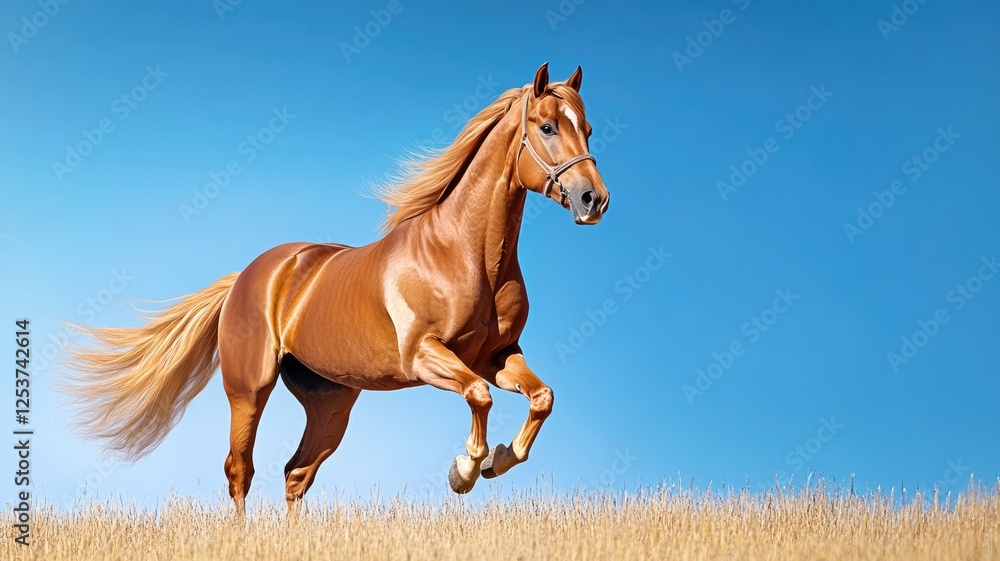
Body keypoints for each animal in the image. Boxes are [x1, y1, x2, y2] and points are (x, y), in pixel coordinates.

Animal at [64, 63, 610, 517]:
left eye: (585, 128)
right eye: (546, 127)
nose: (594, 199)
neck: (465, 253)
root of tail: (246, 277)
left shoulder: (497, 356)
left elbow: (541, 398)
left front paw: (499, 459)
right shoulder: (426, 355)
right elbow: (479, 396)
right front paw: (465, 471)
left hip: (331, 404)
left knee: (296, 473)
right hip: (249, 390)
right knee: (240, 470)